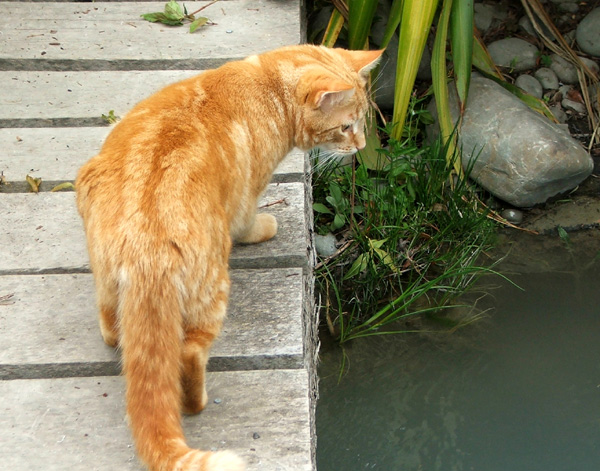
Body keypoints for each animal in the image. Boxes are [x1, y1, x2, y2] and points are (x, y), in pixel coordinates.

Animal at [77, 45, 382, 471]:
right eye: (346, 127)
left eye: (362, 124)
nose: (360, 147)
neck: (266, 81)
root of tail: (146, 246)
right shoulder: (246, 195)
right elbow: (249, 220)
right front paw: (265, 227)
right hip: (214, 287)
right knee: (188, 354)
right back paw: (196, 402)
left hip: (102, 263)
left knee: (111, 326)